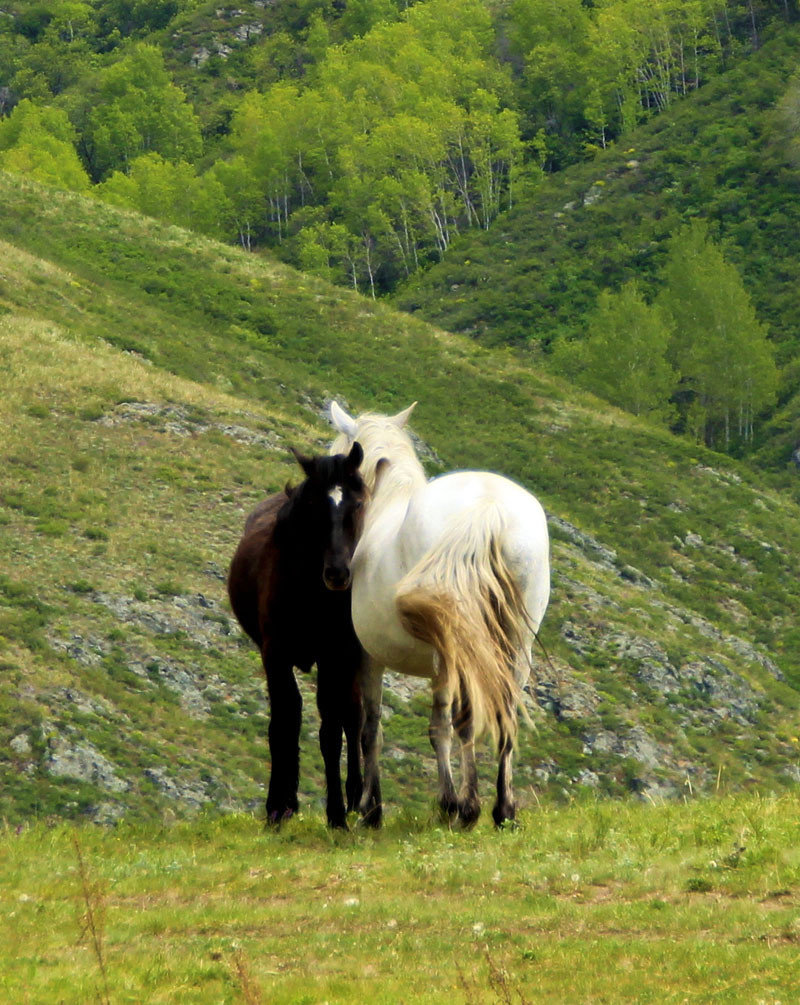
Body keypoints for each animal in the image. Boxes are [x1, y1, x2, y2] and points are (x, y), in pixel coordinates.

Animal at [227, 443, 368, 829]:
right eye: (315, 506)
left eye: (357, 504)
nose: (338, 573)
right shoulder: (275, 654)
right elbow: (284, 721)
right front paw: (279, 807)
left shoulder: (334, 655)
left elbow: (331, 731)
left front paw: (336, 816)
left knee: (354, 716)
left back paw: (356, 798)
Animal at [329, 402, 550, 828]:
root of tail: (487, 505)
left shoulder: (371, 657)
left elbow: (374, 729)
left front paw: (372, 808)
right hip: (516, 646)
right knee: (504, 715)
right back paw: (503, 810)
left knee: (461, 719)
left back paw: (467, 806)